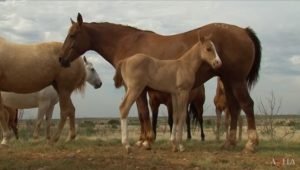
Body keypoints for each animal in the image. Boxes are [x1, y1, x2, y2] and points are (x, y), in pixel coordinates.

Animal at [58, 12, 260, 152]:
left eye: (73, 35)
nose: (61, 59)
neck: (126, 43)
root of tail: (243, 31)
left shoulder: (140, 90)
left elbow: (144, 114)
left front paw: (146, 141)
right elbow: (143, 115)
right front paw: (143, 140)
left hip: (236, 81)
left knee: (247, 105)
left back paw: (250, 143)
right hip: (228, 81)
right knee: (235, 108)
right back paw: (229, 142)